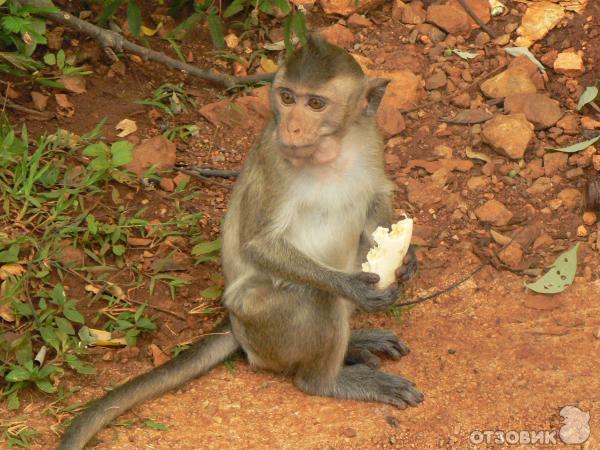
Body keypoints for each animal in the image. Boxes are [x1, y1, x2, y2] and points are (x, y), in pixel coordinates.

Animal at [56, 36, 422, 450]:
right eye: (287, 97)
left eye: (315, 103)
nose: (292, 128)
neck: (331, 152)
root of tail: (232, 322)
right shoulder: (273, 158)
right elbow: (259, 245)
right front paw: (355, 287)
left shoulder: (370, 138)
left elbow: (376, 202)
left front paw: (406, 261)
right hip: (260, 319)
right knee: (318, 301)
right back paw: (327, 378)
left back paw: (356, 342)